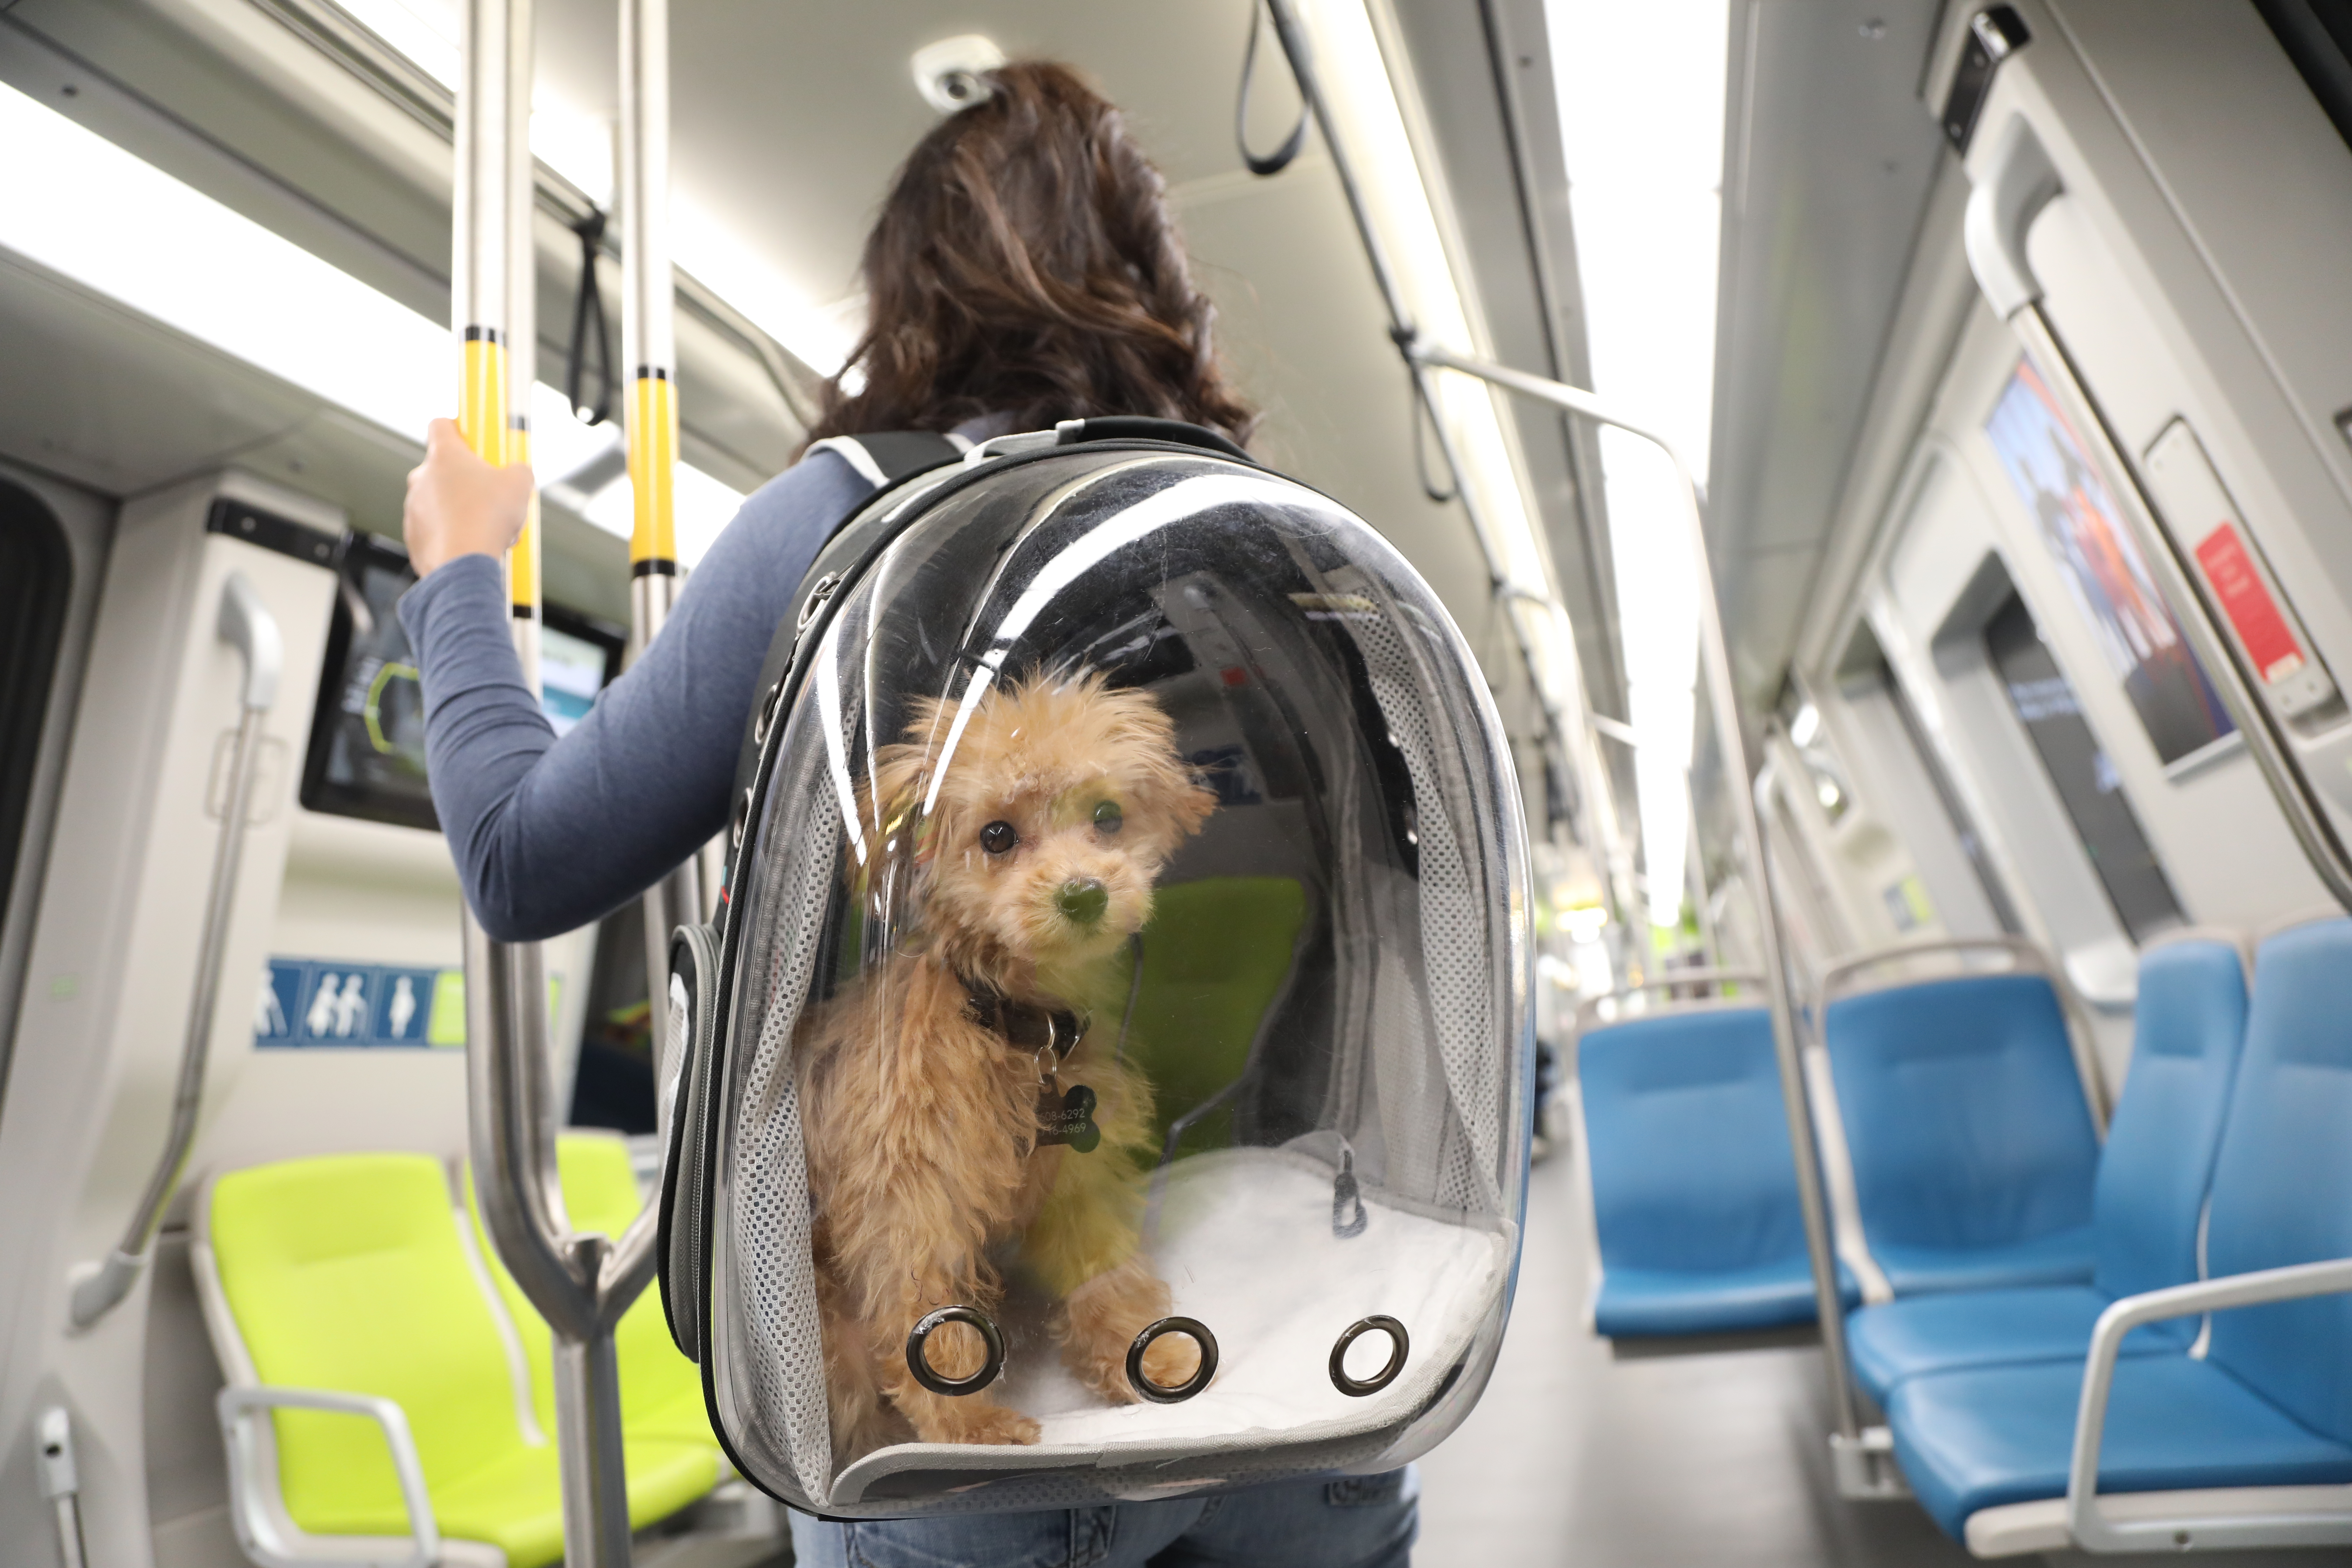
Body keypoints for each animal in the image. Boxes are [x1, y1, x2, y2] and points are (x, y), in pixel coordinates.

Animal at [799, 667, 1223, 1457]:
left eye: (1108, 817)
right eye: (996, 835)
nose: (1084, 894)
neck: (1017, 1031)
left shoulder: (1078, 1188)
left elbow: (1106, 1274)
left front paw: (1146, 1359)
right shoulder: (912, 1203)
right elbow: (926, 1316)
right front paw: (967, 1425)